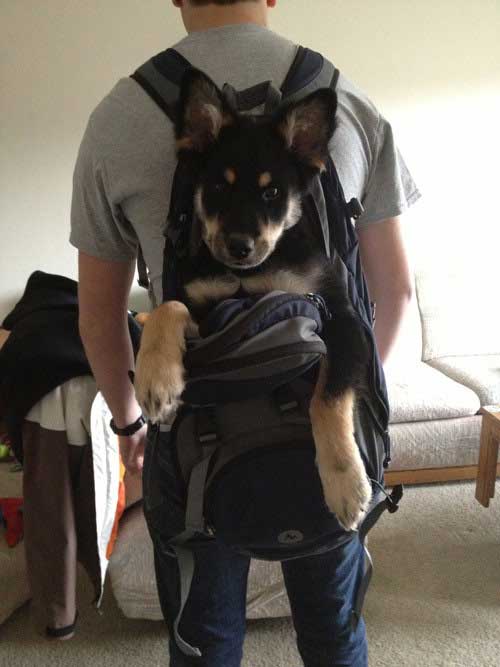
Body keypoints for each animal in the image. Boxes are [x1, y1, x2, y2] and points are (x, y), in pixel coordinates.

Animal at [134, 69, 372, 531]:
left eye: (272, 193)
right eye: (217, 187)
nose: (239, 247)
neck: (249, 275)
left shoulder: (343, 320)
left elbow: (328, 398)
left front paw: (345, 482)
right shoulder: (208, 312)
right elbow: (168, 307)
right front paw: (156, 378)